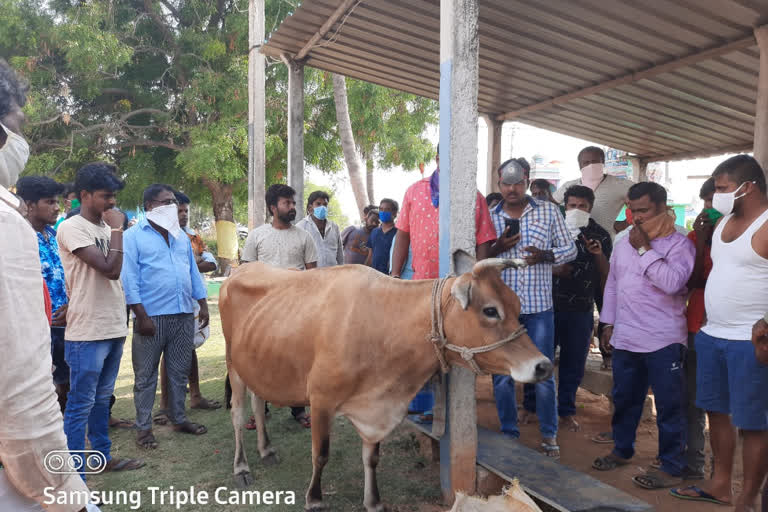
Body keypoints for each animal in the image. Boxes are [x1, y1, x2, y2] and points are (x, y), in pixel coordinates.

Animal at [222, 254, 552, 510]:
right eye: (490, 310)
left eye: (518, 305)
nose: (543, 366)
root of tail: (240, 270)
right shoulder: (321, 399)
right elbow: (321, 454)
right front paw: (314, 499)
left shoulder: (377, 408)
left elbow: (372, 457)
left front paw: (373, 501)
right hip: (233, 366)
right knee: (237, 415)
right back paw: (240, 467)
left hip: (257, 364)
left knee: (258, 403)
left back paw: (266, 450)